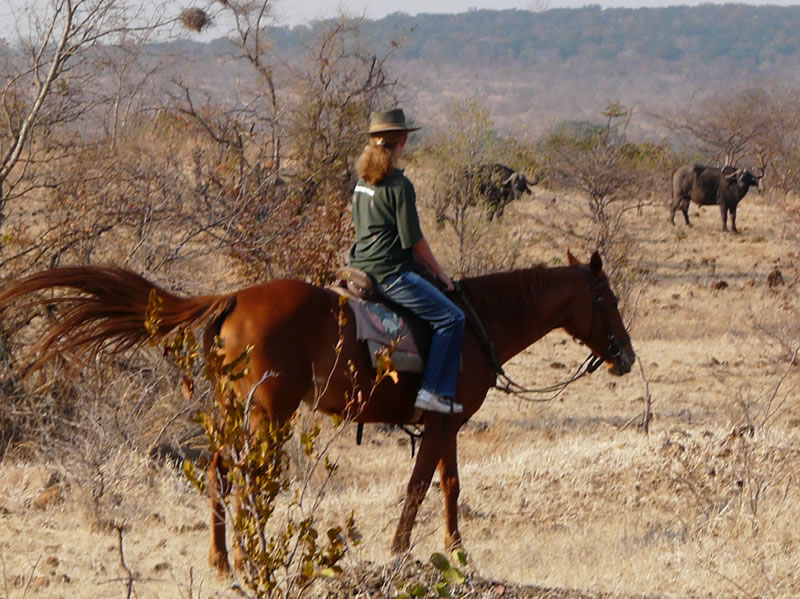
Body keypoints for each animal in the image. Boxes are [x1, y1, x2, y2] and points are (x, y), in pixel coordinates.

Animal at [0, 250, 635, 575]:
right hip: (268, 414)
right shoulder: (439, 425)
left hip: (233, 412)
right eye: (607, 298)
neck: (476, 323)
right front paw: (402, 551)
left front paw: (458, 551)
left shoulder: (446, 424)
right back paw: (250, 557)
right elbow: (419, 486)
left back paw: (222, 560)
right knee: (249, 477)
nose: (626, 356)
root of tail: (233, 298)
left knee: (219, 473)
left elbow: (450, 485)